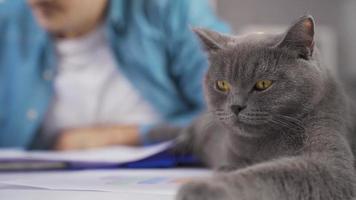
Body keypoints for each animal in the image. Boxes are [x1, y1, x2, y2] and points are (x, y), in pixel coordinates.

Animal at [149, 15, 356, 200]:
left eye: (263, 84)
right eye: (222, 85)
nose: (236, 106)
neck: (261, 145)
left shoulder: (331, 164)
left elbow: (270, 174)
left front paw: (202, 188)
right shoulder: (232, 152)